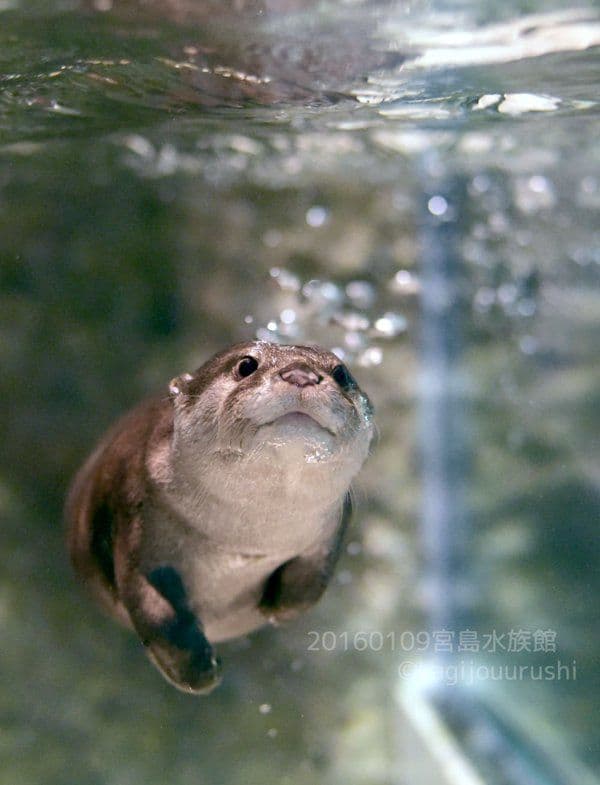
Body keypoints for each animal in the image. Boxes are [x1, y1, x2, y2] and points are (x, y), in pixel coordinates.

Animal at [66, 341, 373, 694]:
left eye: (342, 373)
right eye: (246, 365)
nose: (301, 374)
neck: (238, 542)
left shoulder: (331, 527)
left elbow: (314, 578)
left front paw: (279, 607)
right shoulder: (135, 524)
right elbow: (160, 614)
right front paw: (200, 672)